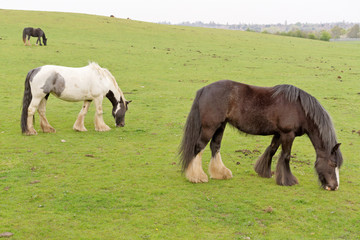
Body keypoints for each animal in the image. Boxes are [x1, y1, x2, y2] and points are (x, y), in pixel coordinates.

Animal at [180, 80, 344, 191]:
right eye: (333, 164)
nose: (334, 186)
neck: (300, 109)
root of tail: (204, 89)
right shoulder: (287, 134)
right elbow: (286, 156)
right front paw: (288, 180)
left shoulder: (278, 134)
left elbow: (272, 150)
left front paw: (264, 172)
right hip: (210, 126)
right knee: (199, 147)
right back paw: (196, 176)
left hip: (221, 125)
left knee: (215, 146)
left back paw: (220, 173)